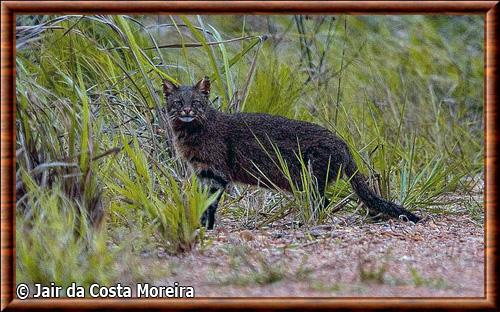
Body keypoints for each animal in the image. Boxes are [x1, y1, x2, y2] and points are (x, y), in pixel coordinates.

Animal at [160, 77, 418, 229]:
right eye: (177, 102)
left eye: (196, 102)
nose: (186, 110)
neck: (191, 139)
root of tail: (344, 145)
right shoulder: (203, 172)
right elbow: (204, 203)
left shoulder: (216, 171)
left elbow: (211, 204)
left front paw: (207, 227)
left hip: (310, 176)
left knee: (321, 202)